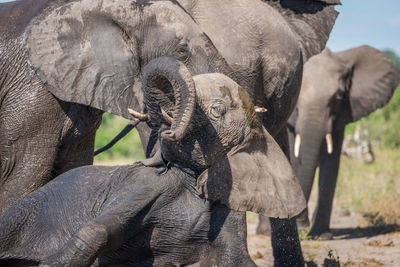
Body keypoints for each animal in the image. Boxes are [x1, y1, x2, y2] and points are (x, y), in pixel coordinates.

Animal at [0, 58, 306, 267]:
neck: (189, 179)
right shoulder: (141, 185)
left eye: (217, 110)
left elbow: (236, 258)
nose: (165, 130)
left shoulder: (227, 202)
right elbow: (96, 231)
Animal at [286, 45, 400, 240]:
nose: (301, 229)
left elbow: (332, 162)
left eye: (338, 98)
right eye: (296, 97)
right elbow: (293, 160)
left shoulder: (340, 117)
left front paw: (321, 236)